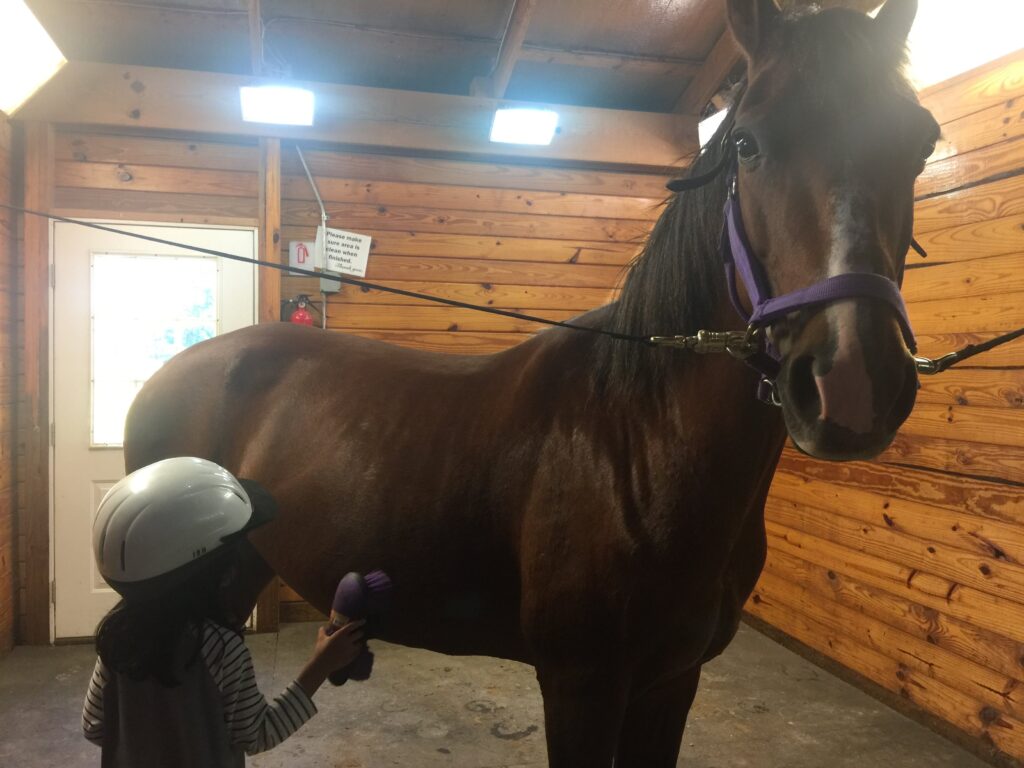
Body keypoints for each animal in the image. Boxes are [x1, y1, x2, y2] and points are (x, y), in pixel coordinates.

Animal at [119, 3, 937, 765]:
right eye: (747, 143)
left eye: (922, 141)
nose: (852, 381)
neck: (639, 444)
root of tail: (176, 371)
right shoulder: (581, 686)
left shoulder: (673, 682)